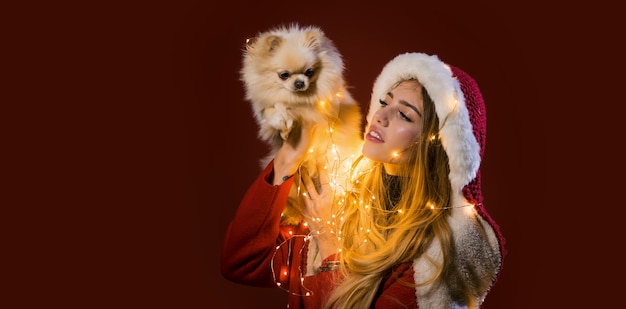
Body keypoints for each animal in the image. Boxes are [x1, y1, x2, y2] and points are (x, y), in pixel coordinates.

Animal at [240, 22, 366, 223]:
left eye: (309, 72)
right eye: (284, 75)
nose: (299, 83)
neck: (295, 98)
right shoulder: (268, 107)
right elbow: (272, 111)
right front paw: (283, 122)